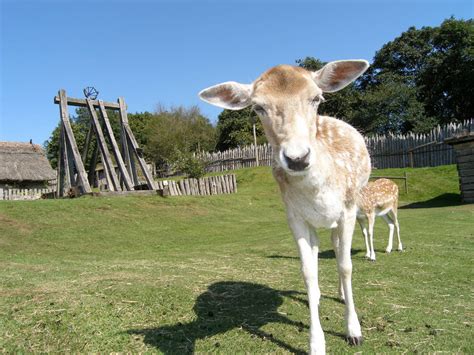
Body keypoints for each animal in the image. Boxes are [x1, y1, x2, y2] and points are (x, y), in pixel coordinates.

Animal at [199, 59, 370, 354]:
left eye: (316, 98)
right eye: (258, 107)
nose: (297, 158)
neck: (319, 191)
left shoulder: (347, 210)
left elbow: (346, 266)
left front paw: (353, 331)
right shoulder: (296, 218)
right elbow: (308, 273)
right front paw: (316, 344)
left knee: (338, 251)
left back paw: (341, 295)